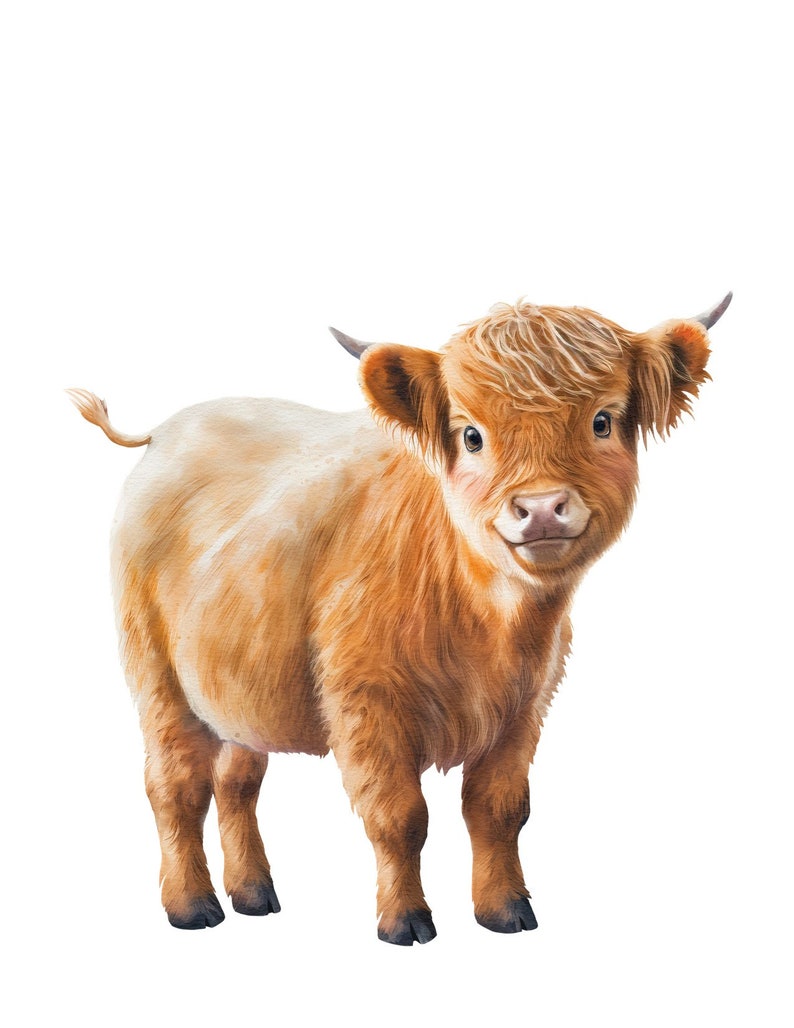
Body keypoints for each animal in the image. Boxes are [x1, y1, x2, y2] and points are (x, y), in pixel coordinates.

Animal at [67, 293, 730, 945]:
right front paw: (404, 919)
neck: (490, 617)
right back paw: (192, 905)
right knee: (176, 785)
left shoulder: (526, 704)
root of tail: (167, 431)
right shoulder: (366, 700)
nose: (542, 508)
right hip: (157, 677)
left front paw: (506, 910)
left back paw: (254, 894)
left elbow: (498, 808)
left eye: (603, 421)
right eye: (471, 435)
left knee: (237, 780)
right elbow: (401, 816)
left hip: (236, 690)